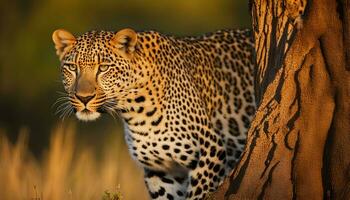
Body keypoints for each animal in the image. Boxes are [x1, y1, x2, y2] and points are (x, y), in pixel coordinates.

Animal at [51, 27, 254, 200]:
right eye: (72, 67)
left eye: (103, 68)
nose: (83, 97)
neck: (136, 112)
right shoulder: (161, 172)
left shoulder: (211, 152)